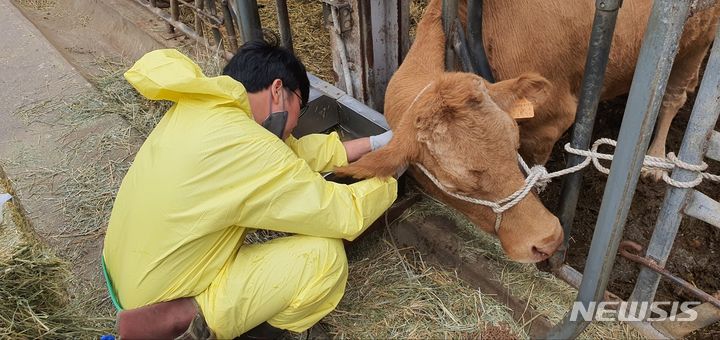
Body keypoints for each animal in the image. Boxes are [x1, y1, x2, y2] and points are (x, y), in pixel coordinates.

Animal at [334, 0, 716, 262]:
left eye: (512, 142)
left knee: (675, 95)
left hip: (698, 36)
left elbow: (536, 162)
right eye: (455, 184)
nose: (548, 240)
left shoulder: (551, 120)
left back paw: (653, 159)